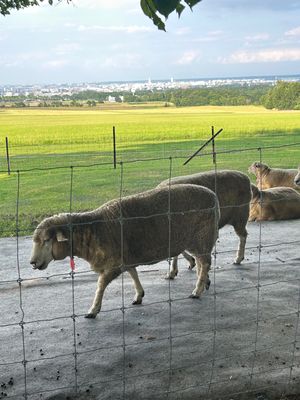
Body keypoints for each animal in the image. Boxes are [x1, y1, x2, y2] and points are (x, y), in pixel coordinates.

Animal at [30, 184, 219, 318]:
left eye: (46, 240)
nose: (32, 263)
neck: (93, 231)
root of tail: (213, 195)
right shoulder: (126, 257)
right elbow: (133, 273)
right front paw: (139, 295)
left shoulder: (112, 264)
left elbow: (100, 285)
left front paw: (93, 309)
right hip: (197, 239)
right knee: (202, 262)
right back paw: (204, 283)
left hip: (201, 236)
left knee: (204, 262)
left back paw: (197, 291)